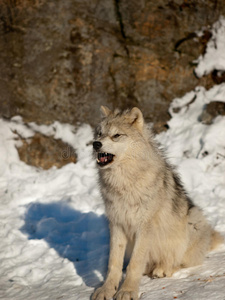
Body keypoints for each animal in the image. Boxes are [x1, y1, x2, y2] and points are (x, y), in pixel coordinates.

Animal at [91, 106, 223, 300]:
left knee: (180, 261)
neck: (124, 182)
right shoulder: (117, 225)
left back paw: (163, 268)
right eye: (99, 134)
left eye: (116, 135)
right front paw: (107, 290)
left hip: (193, 218)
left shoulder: (144, 227)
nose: (95, 144)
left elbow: (135, 263)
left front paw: (127, 291)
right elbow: (113, 263)